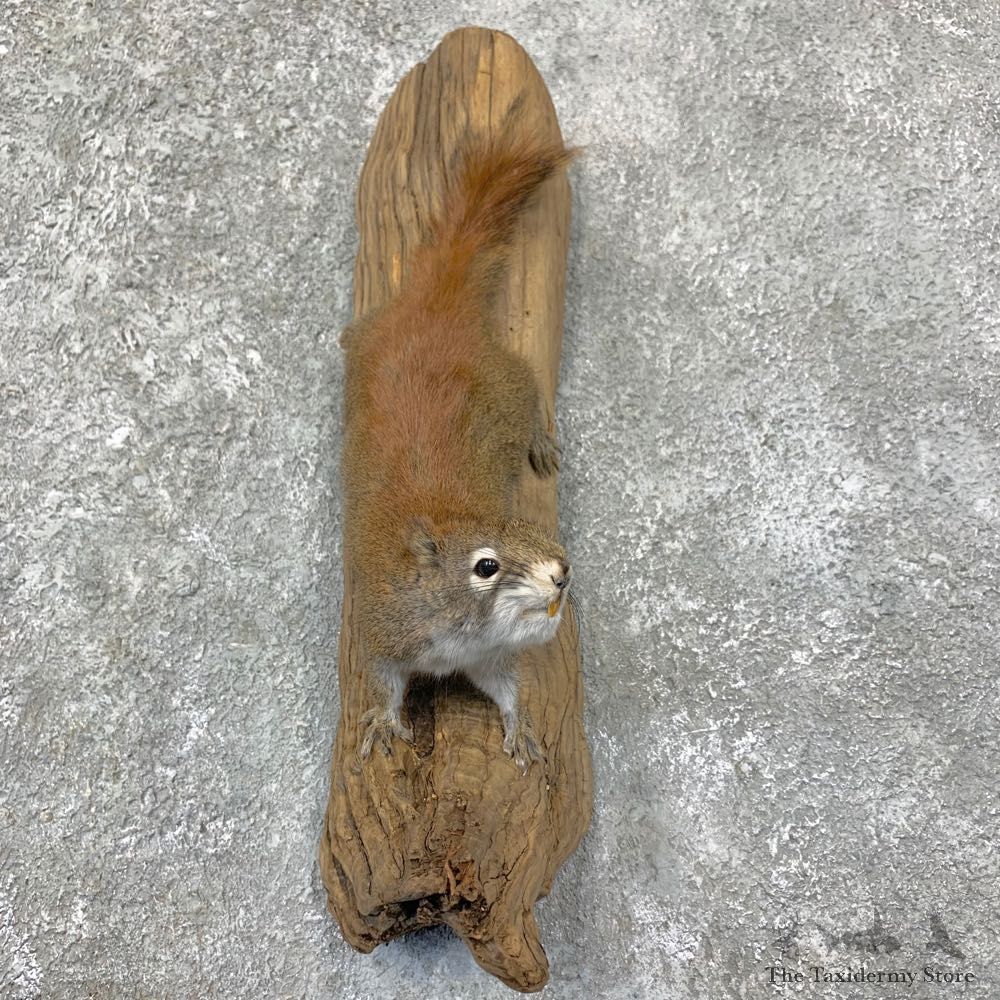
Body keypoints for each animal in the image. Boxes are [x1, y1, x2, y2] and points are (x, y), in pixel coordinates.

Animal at [341, 117, 576, 768]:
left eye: (535, 529)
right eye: (486, 566)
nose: (562, 572)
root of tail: (434, 314)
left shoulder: (489, 659)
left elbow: (508, 688)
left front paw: (521, 729)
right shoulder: (383, 632)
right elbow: (382, 683)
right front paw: (381, 721)